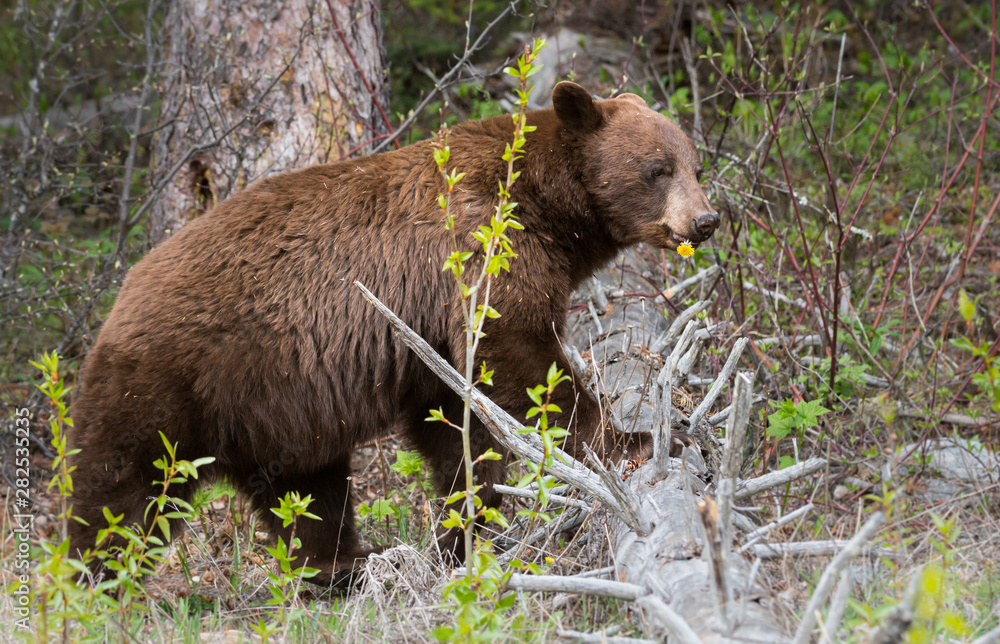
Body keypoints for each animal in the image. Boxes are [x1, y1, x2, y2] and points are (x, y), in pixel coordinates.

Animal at [68, 81, 719, 583]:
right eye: (657, 169)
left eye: (696, 165)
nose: (706, 220)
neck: (542, 203)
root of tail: (117, 302)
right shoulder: (480, 245)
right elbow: (514, 350)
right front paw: (634, 440)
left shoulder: (428, 332)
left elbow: (456, 424)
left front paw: (468, 528)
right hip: (166, 384)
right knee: (121, 490)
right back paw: (96, 583)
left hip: (272, 414)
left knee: (309, 497)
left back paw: (344, 569)